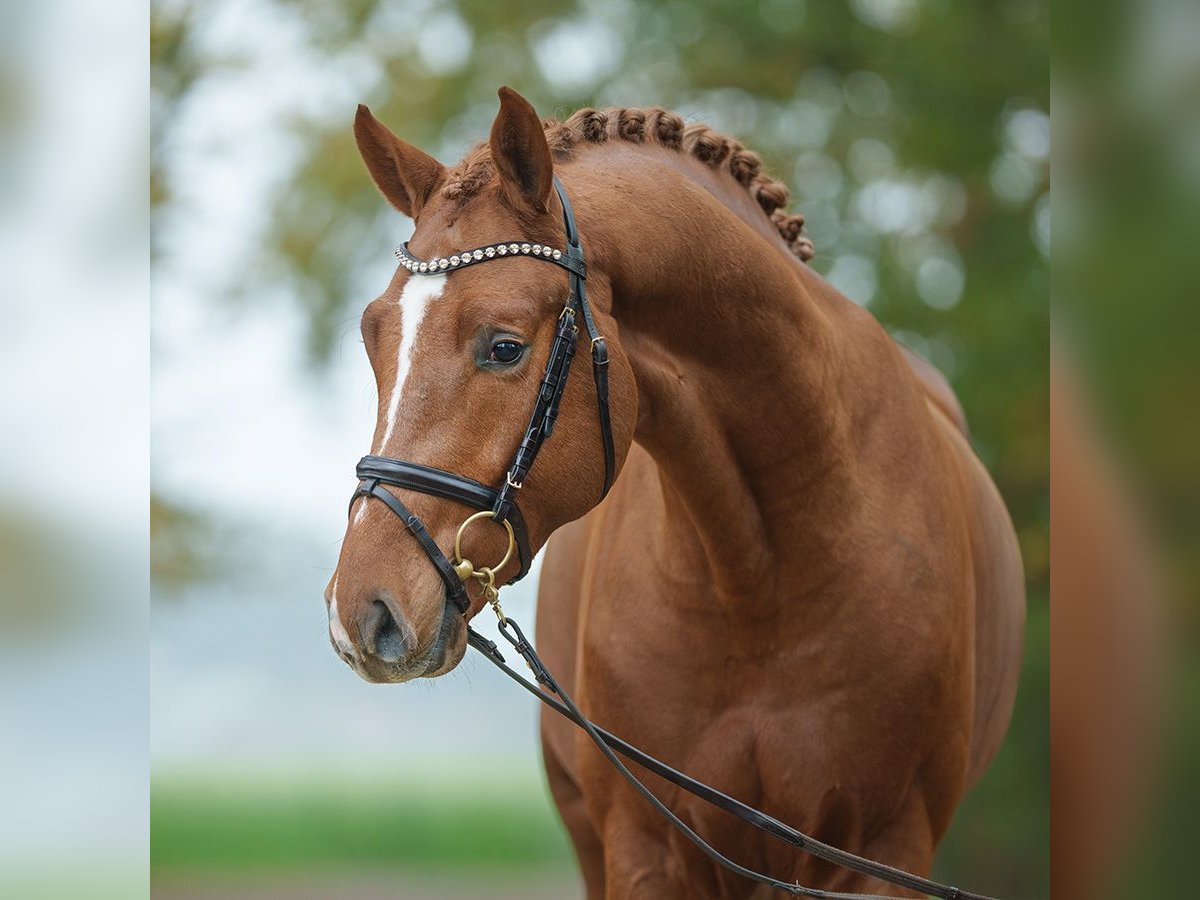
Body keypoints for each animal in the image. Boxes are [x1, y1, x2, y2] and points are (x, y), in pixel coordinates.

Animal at [326, 86, 1022, 900]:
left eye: (504, 346)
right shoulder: (646, 848)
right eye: (373, 338)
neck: (764, 579)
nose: (361, 612)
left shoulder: (887, 851)